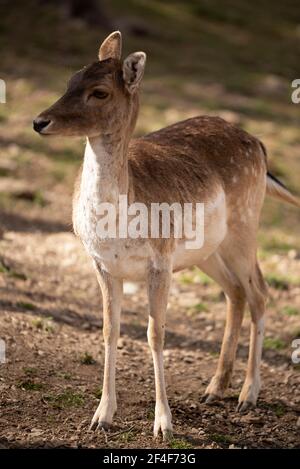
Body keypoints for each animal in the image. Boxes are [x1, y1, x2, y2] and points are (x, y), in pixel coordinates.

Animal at [33, 32, 300, 438]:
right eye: (71, 79)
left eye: (99, 92)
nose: (39, 121)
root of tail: (260, 145)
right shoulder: (102, 264)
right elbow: (110, 330)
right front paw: (101, 416)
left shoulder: (159, 260)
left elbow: (155, 333)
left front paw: (163, 423)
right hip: (206, 252)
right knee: (235, 292)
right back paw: (214, 388)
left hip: (244, 227)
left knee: (260, 292)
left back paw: (248, 395)